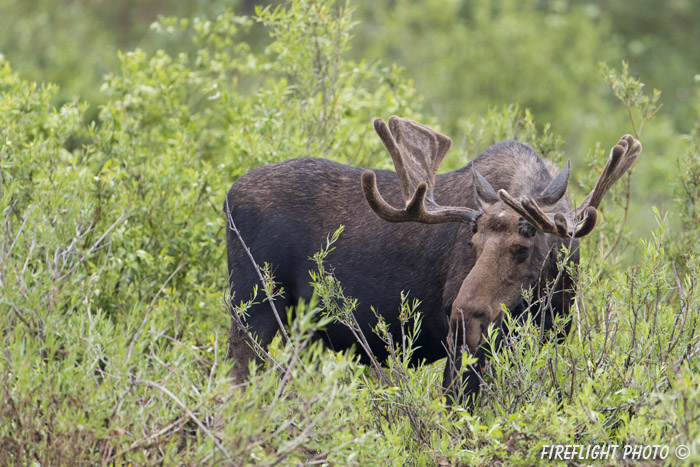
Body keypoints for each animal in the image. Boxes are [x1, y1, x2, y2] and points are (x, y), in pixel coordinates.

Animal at [227, 117, 644, 406]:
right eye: (472, 243)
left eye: (522, 249)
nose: (462, 315)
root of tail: (228, 196)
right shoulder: (464, 348)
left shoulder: (550, 336)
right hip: (252, 306)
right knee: (238, 376)